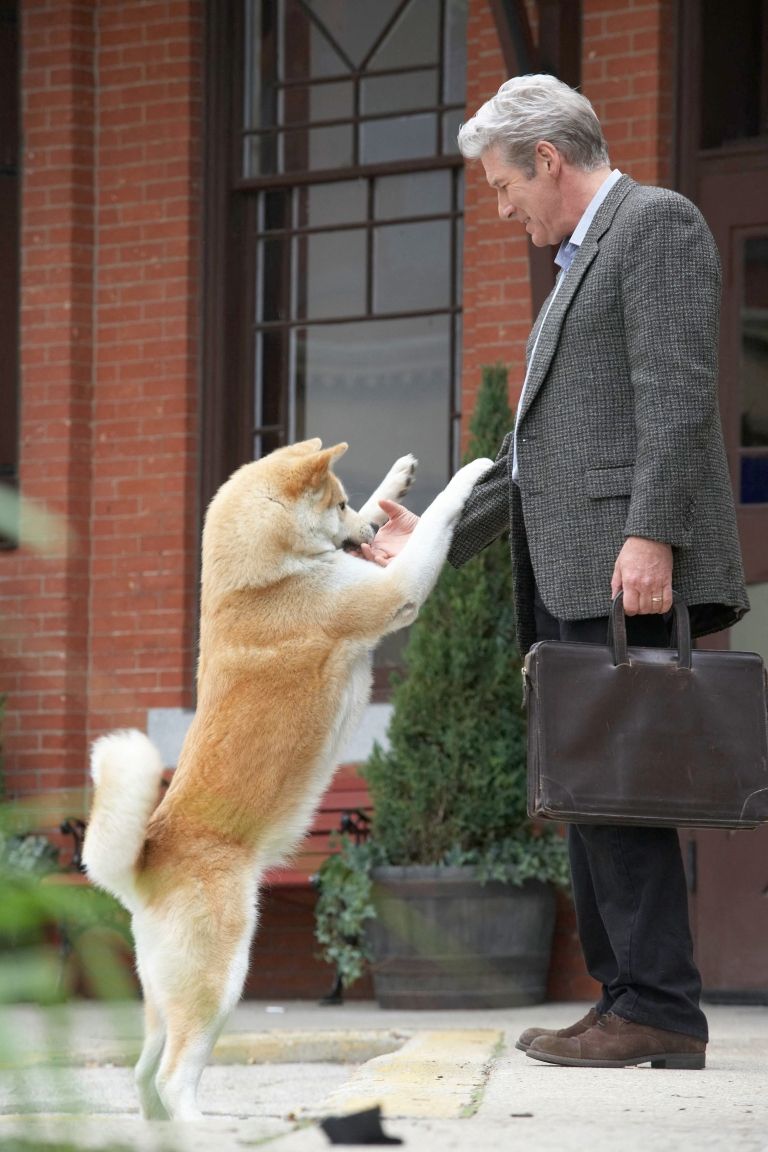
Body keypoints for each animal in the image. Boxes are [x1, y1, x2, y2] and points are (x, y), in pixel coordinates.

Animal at [82, 437, 492, 1115]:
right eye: (340, 504)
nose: (366, 533)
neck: (261, 578)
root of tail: (145, 859)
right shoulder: (395, 589)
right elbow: (440, 514)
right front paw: (470, 472)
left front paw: (398, 481)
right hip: (221, 976)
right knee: (172, 1077)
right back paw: (203, 1126)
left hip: (167, 995)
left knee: (143, 1074)